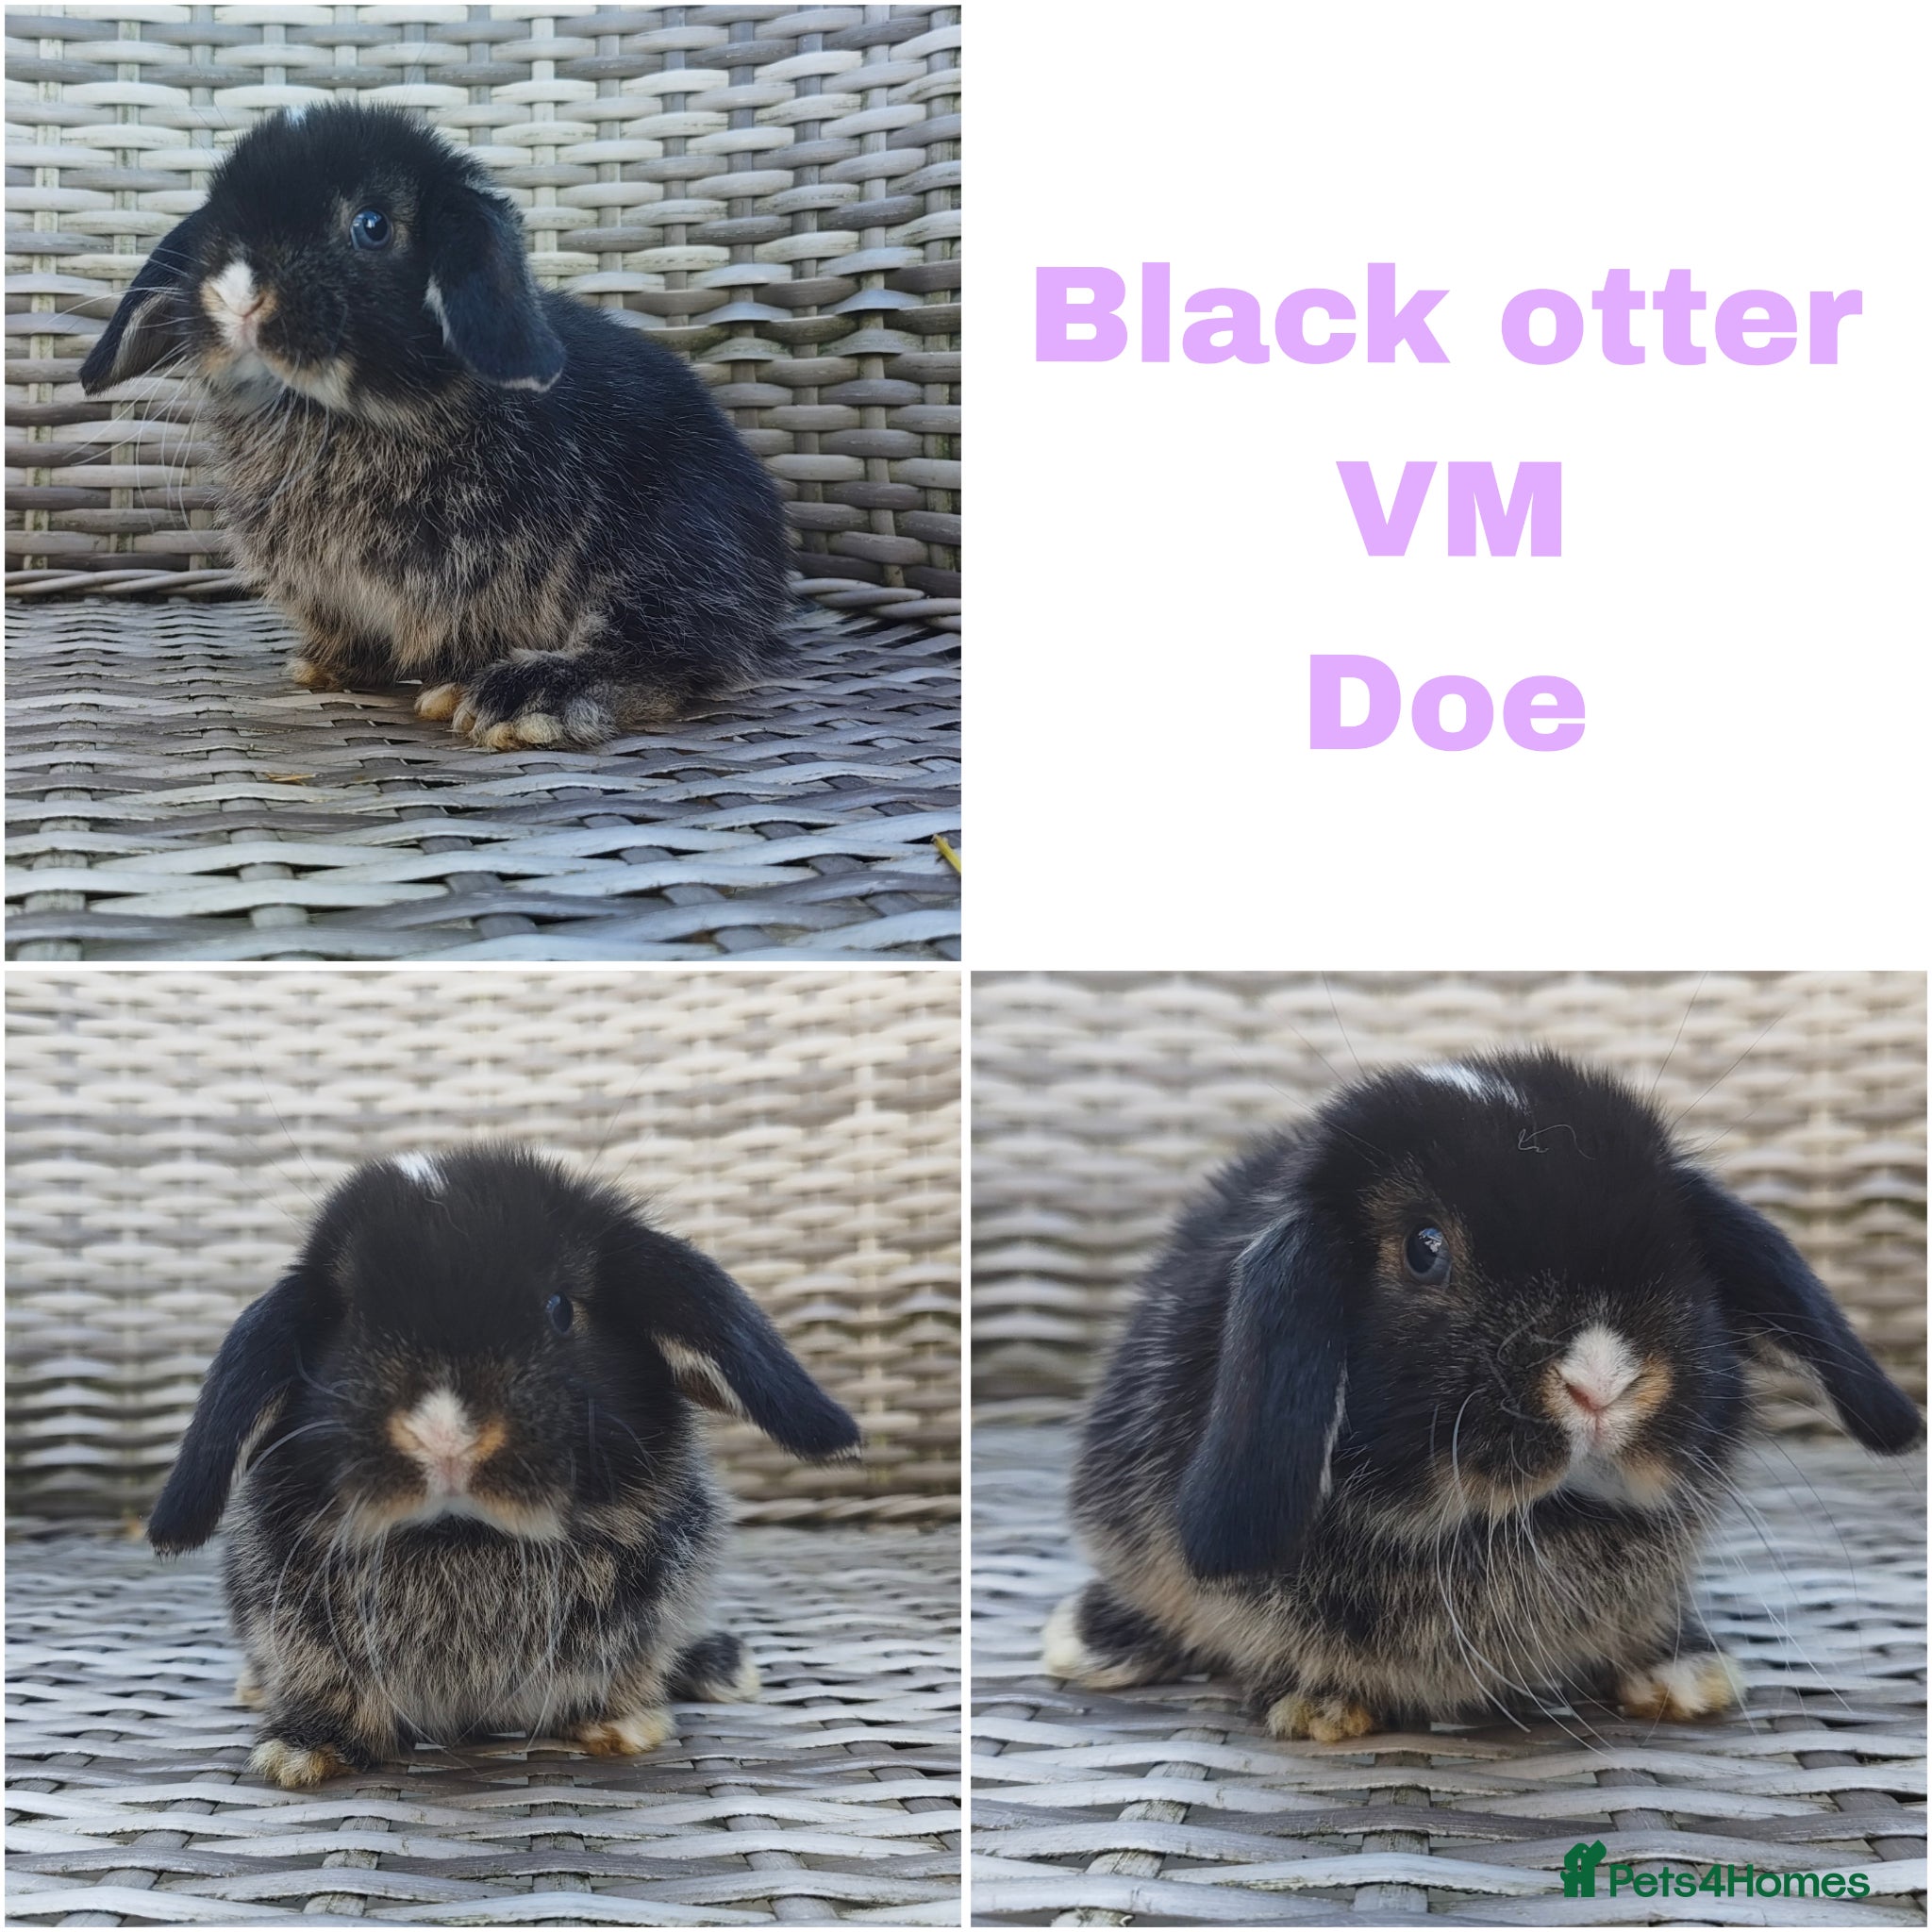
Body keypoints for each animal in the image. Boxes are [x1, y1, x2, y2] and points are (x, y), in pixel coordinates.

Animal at [78, 102, 796, 751]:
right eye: (217, 216)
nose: (236, 293)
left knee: (666, 654)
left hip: (669, 557)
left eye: (371, 226)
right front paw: (330, 664)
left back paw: (522, 700)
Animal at [147, 1145, 859, 1788]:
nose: (444, 1434)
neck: (462, 1538)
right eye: (347, 1320)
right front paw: (301, 1752)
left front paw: (622, 1727)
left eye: (560, 1308)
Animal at [1044, 1051, 1923, 1742]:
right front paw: (1320, 1704)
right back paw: (1095, 1642)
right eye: (1424, 1249)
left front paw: (1682, 1675)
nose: (1602, 1380)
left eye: (1679, 1242)